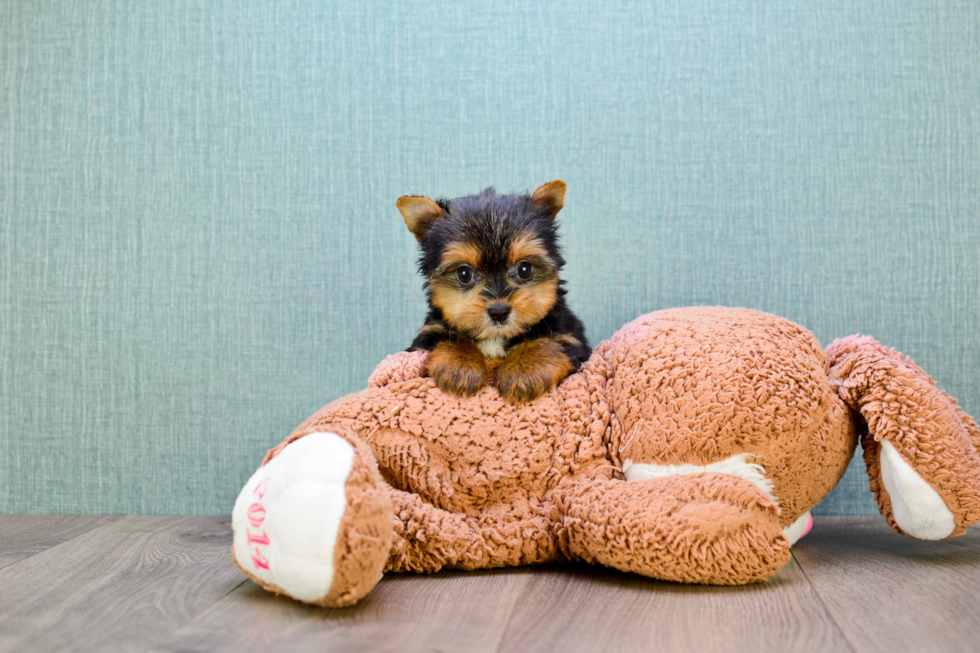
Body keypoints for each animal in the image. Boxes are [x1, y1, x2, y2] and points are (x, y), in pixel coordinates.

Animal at [396, 180, 588, 402]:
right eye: (464, 274)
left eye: (524, 269)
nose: (499, 312)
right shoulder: (429, 333)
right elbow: (449, 338)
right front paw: (461, 365)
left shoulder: (570, 335)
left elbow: (548, 342)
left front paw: (524, 369)